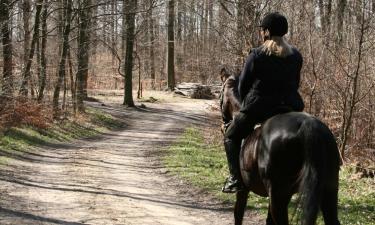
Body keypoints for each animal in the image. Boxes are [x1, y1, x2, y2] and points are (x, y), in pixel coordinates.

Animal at [220, 69, 340, 225]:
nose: (224, 124)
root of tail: (308, 125)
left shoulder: (243, 190)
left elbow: (238, 214)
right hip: (327, 190)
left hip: (278, 195)